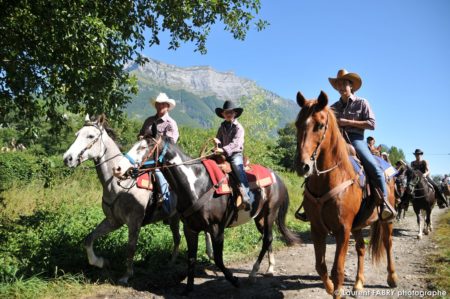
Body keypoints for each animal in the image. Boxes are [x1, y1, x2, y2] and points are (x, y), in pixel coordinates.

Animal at [62, 115, 214, 286]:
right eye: (77, 134)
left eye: (90, 136)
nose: (68, 158)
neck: (119, 185)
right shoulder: (113, 221)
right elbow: (89, 239)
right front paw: (100, 262)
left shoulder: (134, 222)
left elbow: (130, 248)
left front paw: (126, 275)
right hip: (174, 217)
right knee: (177, 238)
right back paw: (171, 262)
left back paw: (210, 253)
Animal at [296, 91, 398, 298]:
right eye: (297, 124)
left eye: (320, 125)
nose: (302, 166)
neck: (329, 178)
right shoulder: (317, 228)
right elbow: (320, 266)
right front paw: (329, 287)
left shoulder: (342, 230)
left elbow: (338, 270)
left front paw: (337, 291)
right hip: (358, 225)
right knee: (361, 248)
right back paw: (358, 283)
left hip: (386, 219)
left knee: (388, 243)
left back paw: (392, 278)